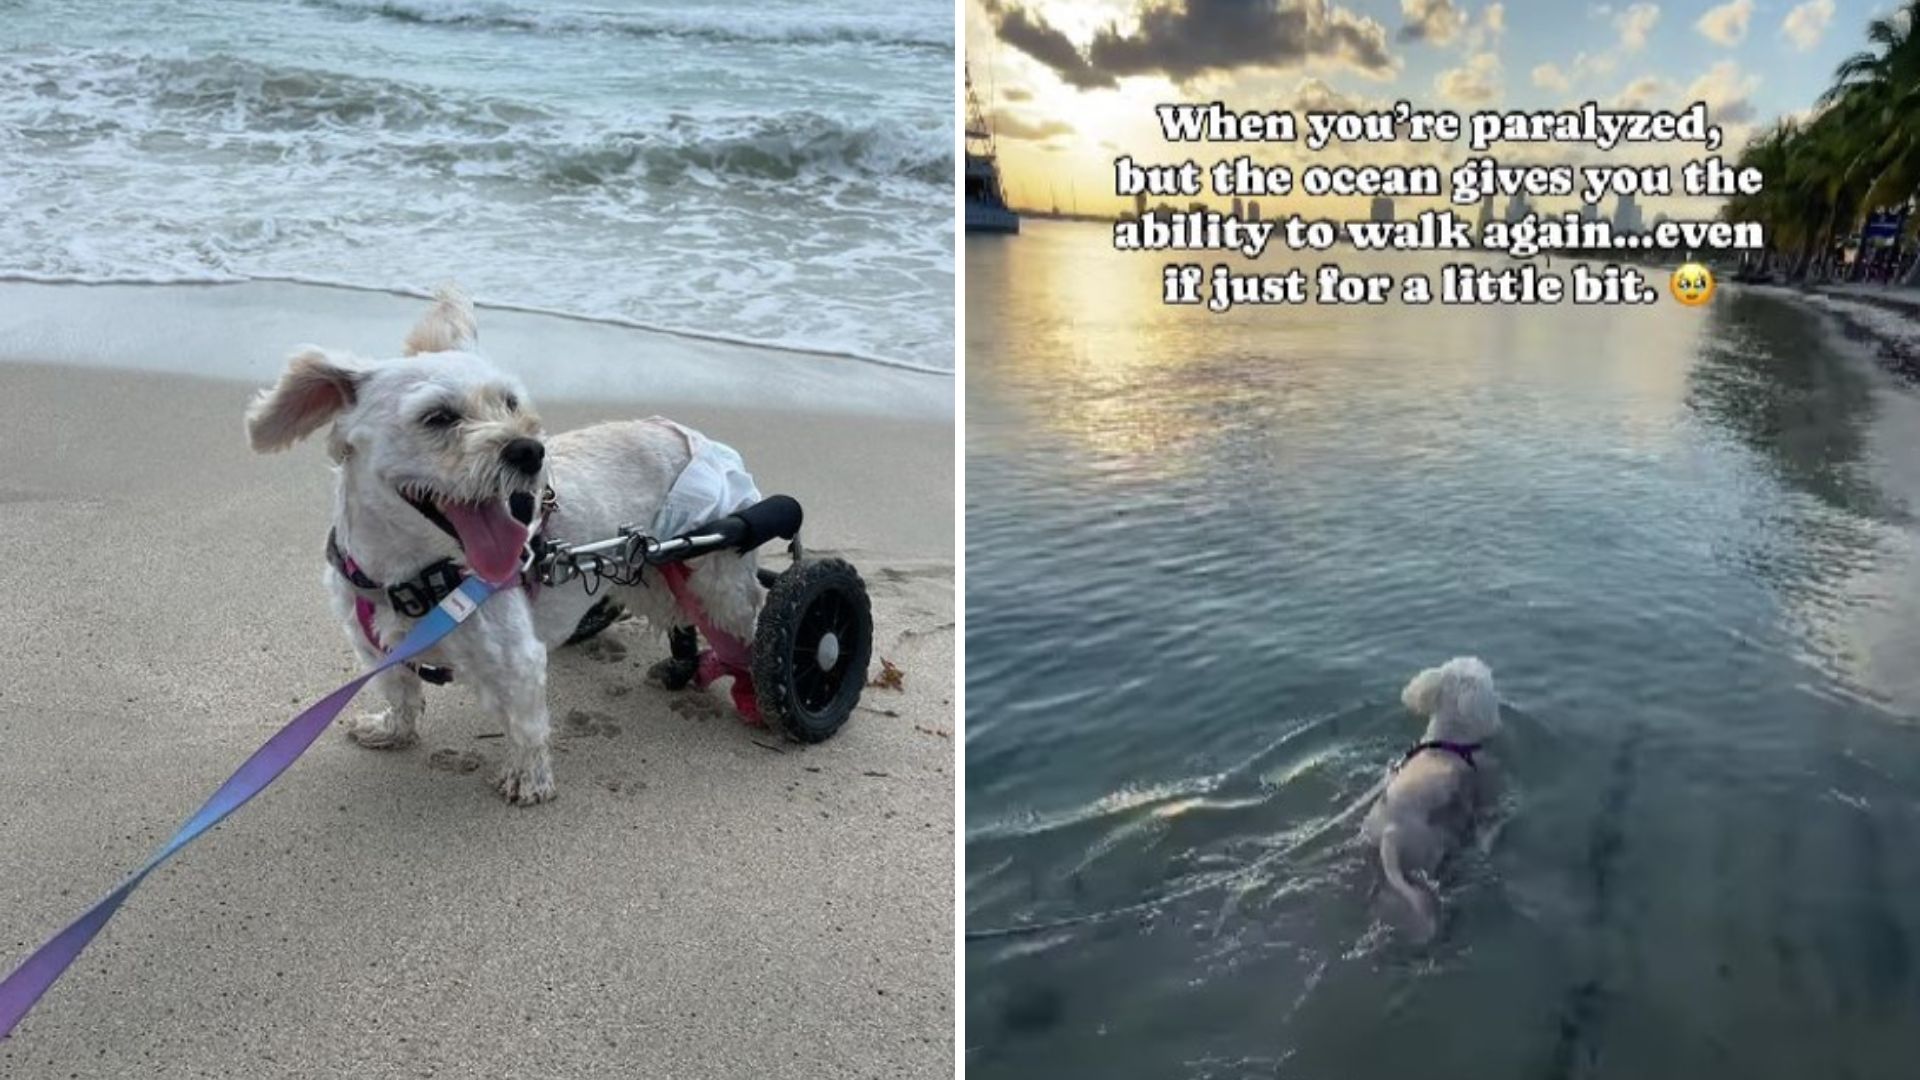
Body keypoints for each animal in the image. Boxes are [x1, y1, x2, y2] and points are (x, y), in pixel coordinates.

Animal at [247, 286, 764, 799]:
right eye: (438, 417)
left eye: (511, 403)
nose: (531, 450)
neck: (415, 575)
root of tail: (691, 434)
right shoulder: (376, 650)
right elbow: (401, 693)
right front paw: (392, 730)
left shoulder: (516, 661)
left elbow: (526, 727)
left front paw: (528, 779)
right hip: (648, 569)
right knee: (678, 612)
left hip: (718, 573)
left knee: (744, 621)